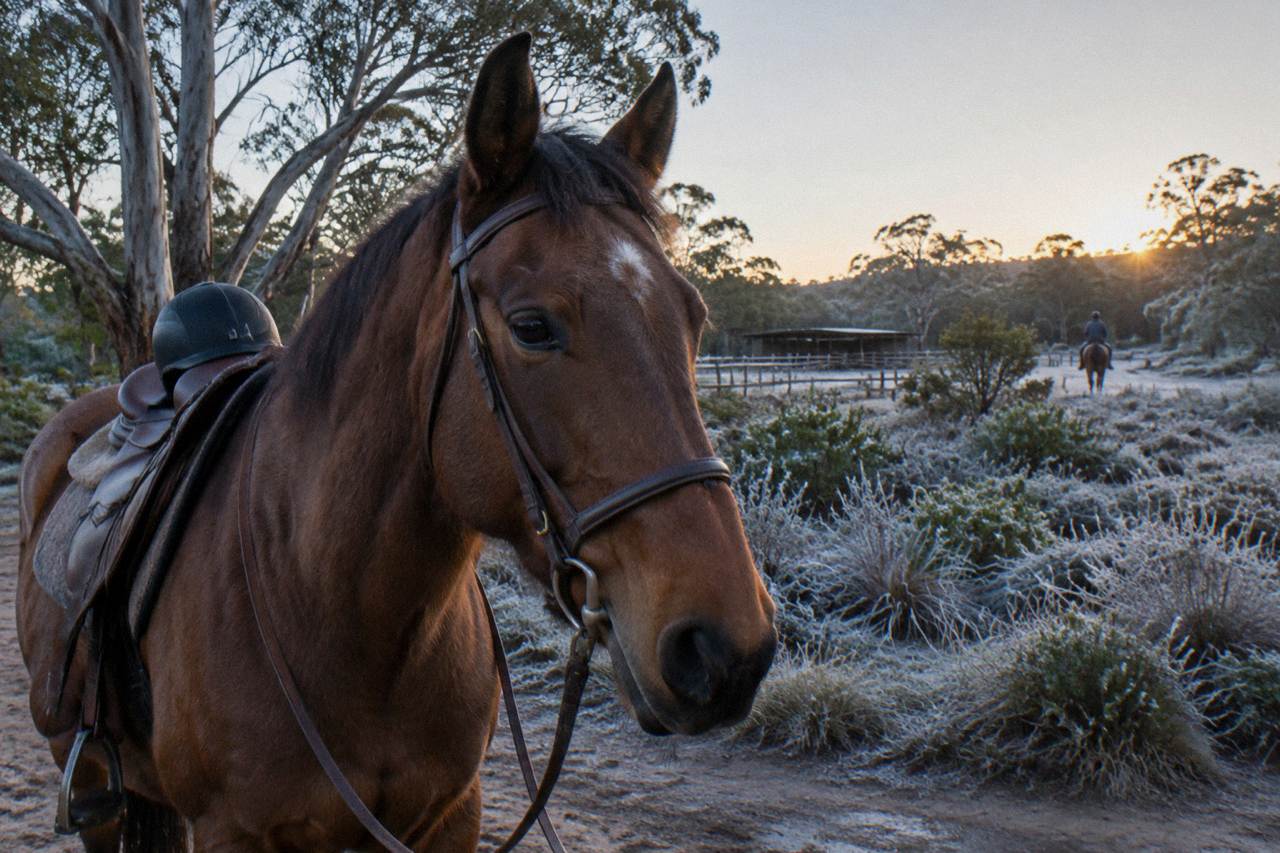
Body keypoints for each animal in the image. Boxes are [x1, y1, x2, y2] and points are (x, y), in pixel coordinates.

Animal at [17, 34, 777, 852]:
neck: (344, 613)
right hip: (95, 782)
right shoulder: (231, 829)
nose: (727, 649)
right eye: (532, 326)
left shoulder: (451, 813)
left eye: (695, 318)